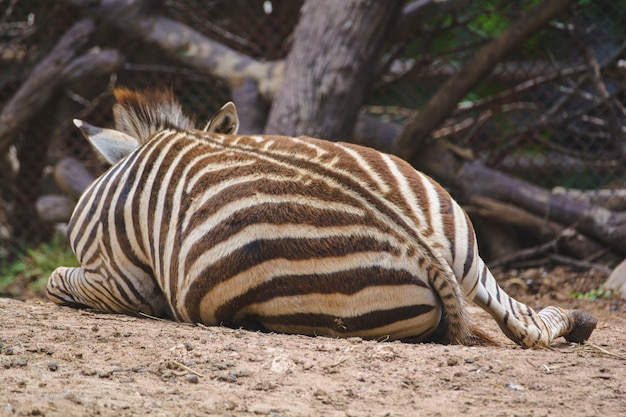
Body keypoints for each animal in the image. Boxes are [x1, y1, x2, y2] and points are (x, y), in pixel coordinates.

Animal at [46, 88, 592, 348]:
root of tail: (423, 250)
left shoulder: (119, 280)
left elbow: (55, 281)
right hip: (469, 253)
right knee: (526, 323)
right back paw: (578, 322)